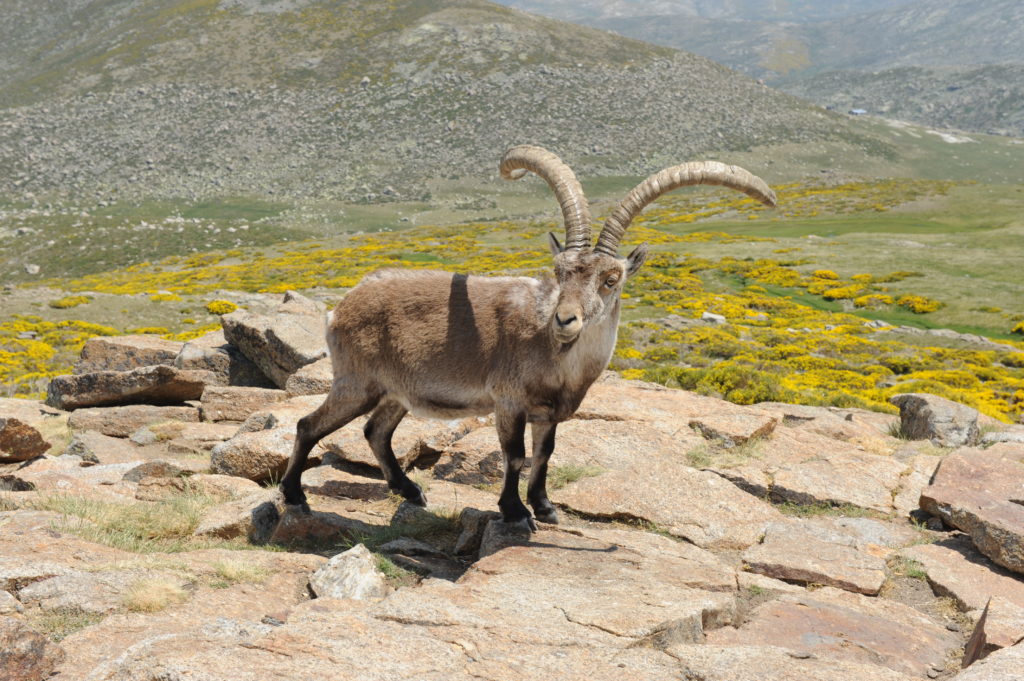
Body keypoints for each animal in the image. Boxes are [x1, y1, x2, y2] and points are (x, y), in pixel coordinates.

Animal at [280, 142, 774, 524]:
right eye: (559, 270)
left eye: (611, 279)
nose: (565, 320)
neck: (559, 357)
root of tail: (343, 305)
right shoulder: (509, 401)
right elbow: (515, 455)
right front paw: (515, 511)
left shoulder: (549, 413)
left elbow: (545, 454)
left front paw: (546, 507)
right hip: (357, 381)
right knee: (309, 425)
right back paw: (295, 496)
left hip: (394, 391)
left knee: (375, 432)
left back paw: (411, 492)